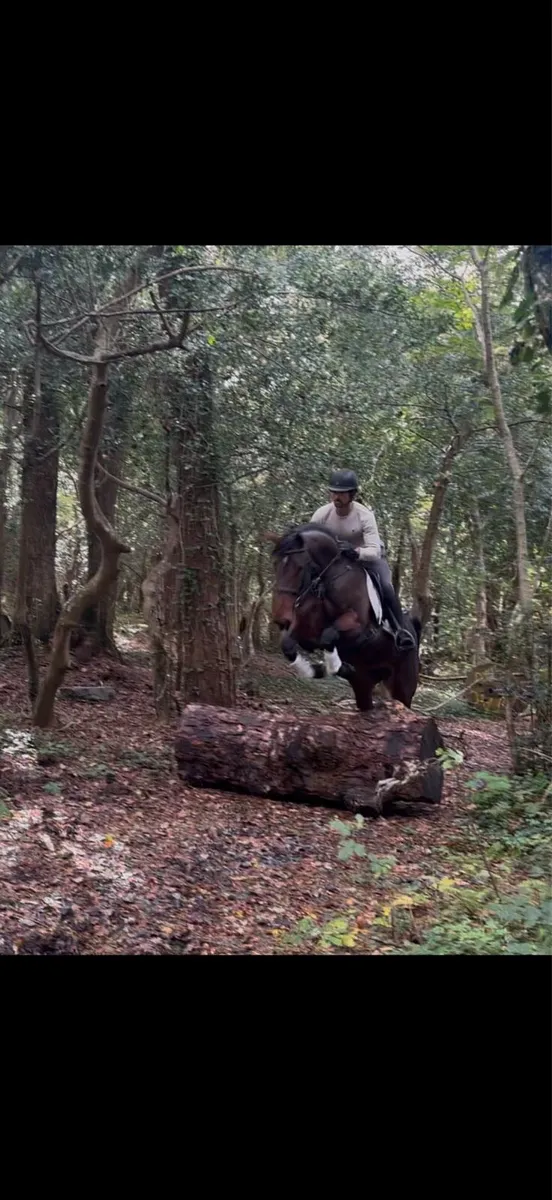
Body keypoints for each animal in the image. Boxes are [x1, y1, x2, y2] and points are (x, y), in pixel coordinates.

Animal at [268, 523, 421, 711]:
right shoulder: (306, 631)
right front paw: (317, 670)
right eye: (275, 565)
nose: (280, 617)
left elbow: (328, 636)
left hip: (403, 686)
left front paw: (334, 667)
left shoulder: (358, 626)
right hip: (364, 683)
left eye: (300, 568)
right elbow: (289, 645)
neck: (331, 580)